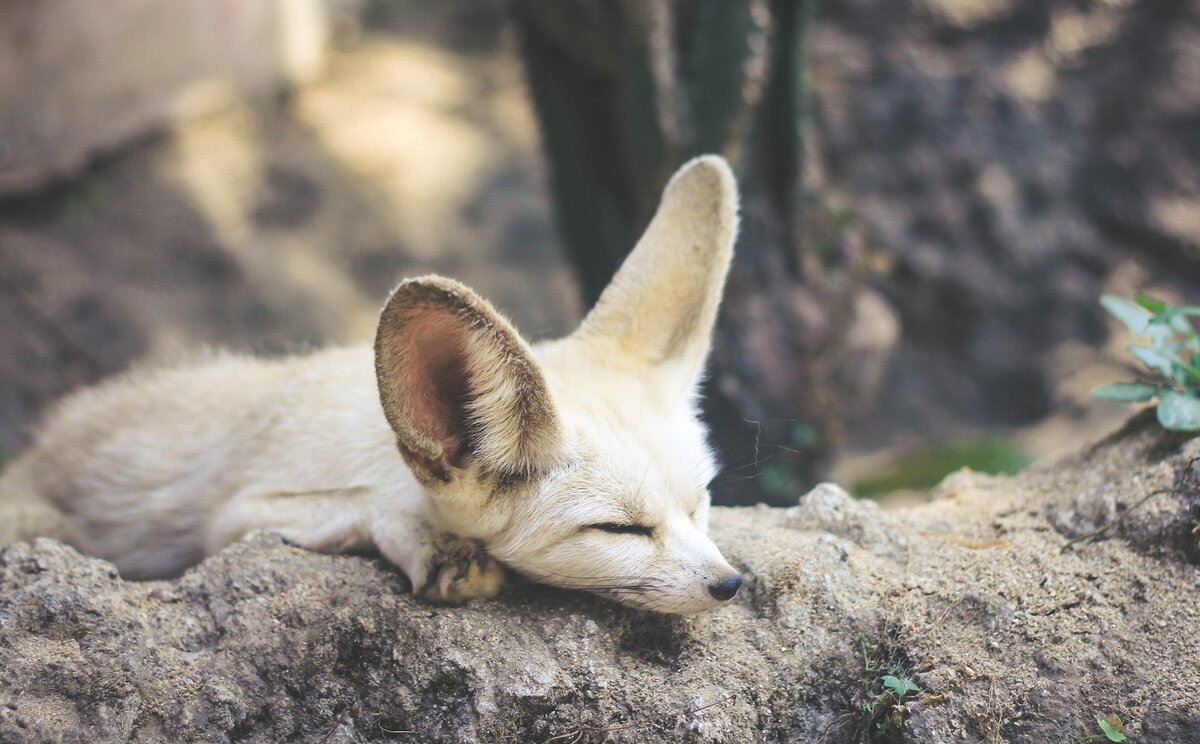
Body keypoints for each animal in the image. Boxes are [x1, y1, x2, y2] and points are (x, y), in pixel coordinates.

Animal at [0, 156, 744, 609]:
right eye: (619, 529)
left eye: (701, 503)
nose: (731, 584)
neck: (375, 434)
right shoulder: (236, 514)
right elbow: (360, 504)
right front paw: (431, 545)